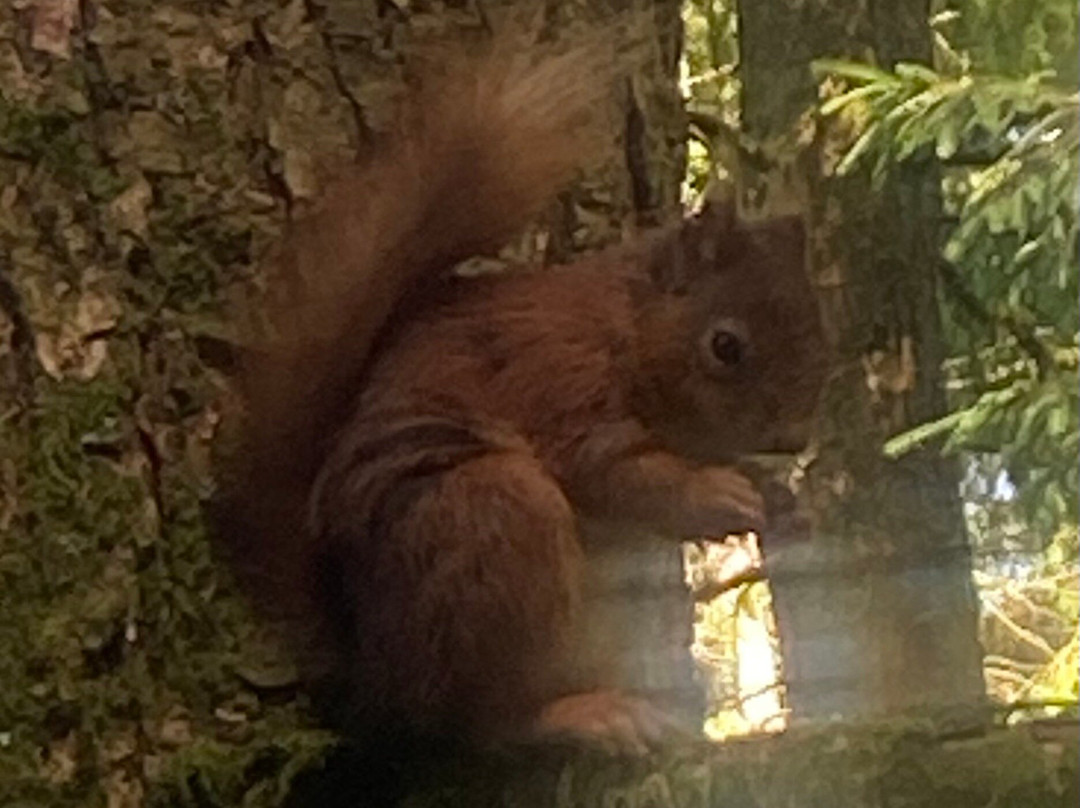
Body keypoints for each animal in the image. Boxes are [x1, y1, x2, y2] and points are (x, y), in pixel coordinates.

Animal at [215, 29, 829, 770]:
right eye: (726, 346)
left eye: (822, 330)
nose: (794, 436)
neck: (626, 327)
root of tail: (368, 672)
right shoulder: (558, 384)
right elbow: (613, 472)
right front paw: (717, 493)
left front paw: (782, 500)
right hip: (494, 517)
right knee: (476, 725)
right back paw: (581, 717)